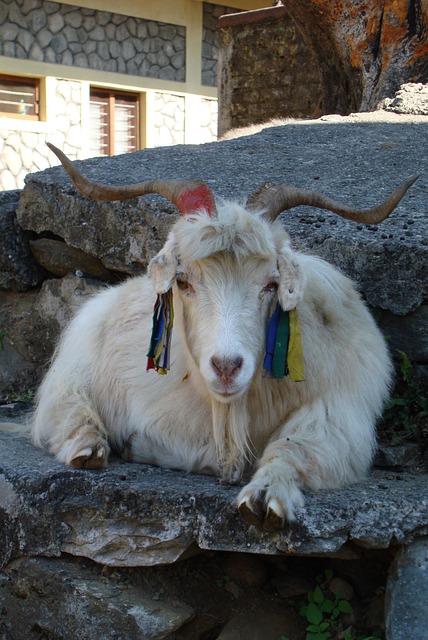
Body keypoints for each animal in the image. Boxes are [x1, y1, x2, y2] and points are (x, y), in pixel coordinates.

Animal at [30, 144, 417, 530]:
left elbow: (295, 445)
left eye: (271, 284)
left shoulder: (340, 414)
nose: (226, 367)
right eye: (184, 282)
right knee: (66, 407)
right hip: (75, 366)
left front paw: (265, 494)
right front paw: (137, 446)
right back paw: (88, 446)